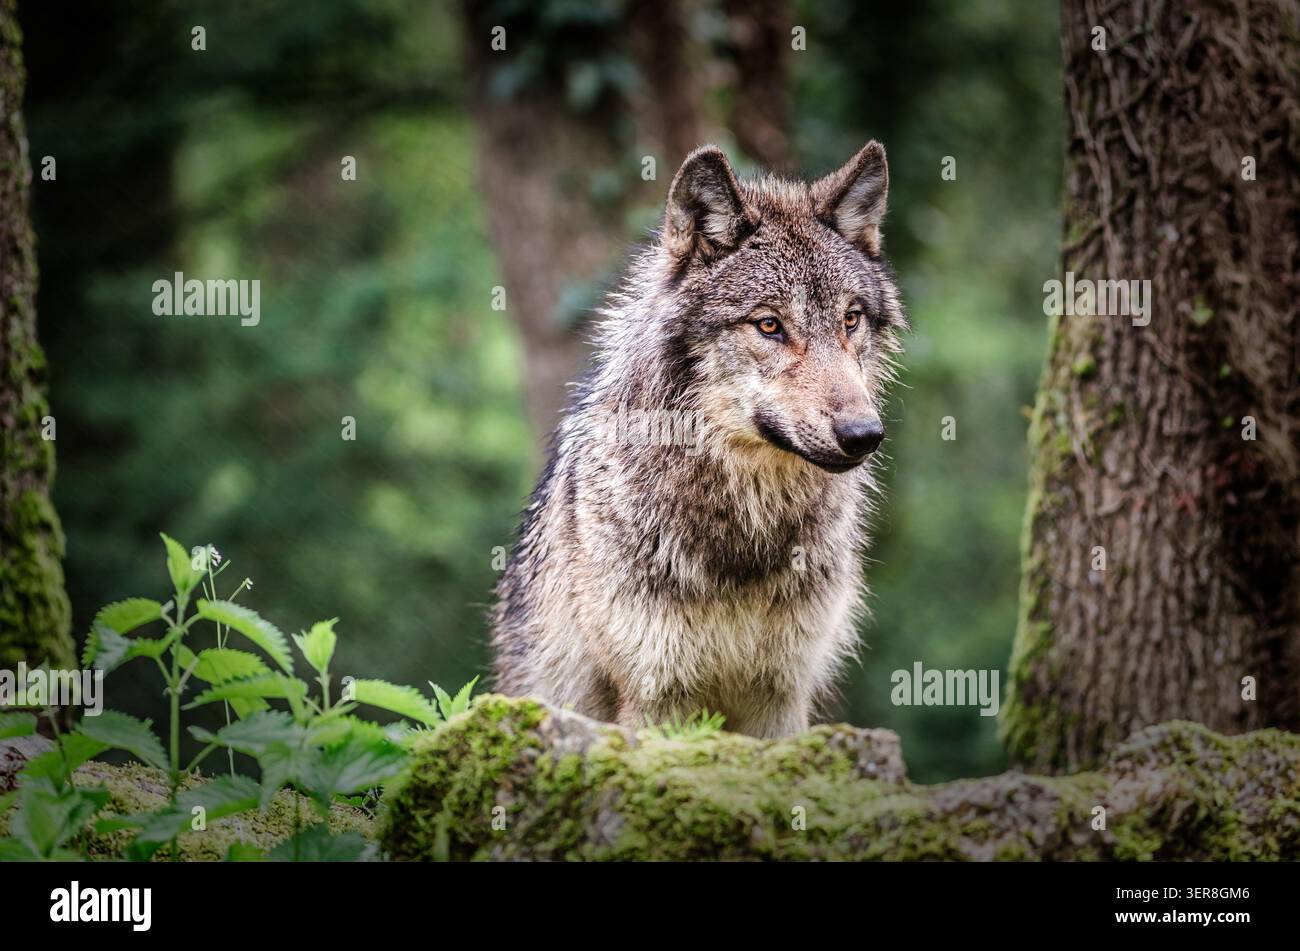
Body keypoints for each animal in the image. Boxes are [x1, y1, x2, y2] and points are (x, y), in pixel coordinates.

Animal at [492, 141, 906, 738]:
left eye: (851, 319)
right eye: (769, 325)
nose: (864, 435)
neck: (748, 532)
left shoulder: (782, 696)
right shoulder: (656, 696)